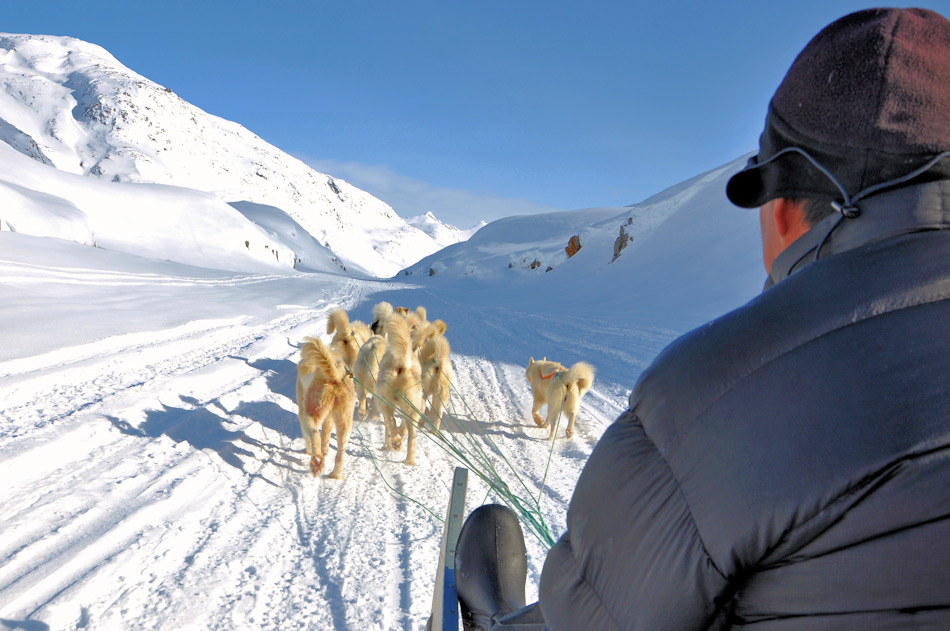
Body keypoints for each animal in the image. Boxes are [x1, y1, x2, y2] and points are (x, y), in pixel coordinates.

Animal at [298, 336, 356, 478]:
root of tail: (334, 375)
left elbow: (309, 438)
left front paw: (308, 451)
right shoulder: (329, 419)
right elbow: (325, 440)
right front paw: (325, 452)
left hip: (311, 413)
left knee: (314, 434)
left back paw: (315, 462)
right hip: (344, 423)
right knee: (340, 454)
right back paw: (333, 473)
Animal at [376, 312, 424, 464]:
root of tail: (403, 364)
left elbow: (388, 429)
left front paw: (387, 446)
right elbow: (402, 427)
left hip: (386, 403)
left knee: (392, 421)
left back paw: (396, 442)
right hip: (413, 409)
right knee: (411, 438)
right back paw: (409, 460)